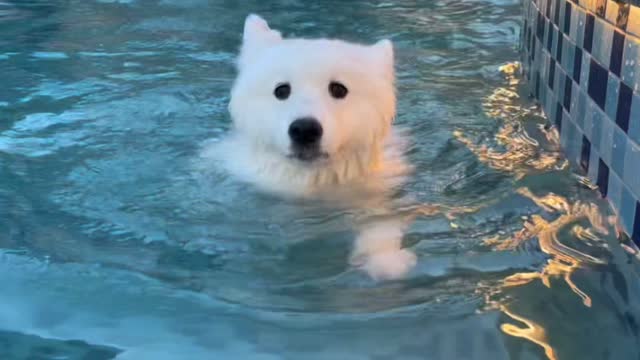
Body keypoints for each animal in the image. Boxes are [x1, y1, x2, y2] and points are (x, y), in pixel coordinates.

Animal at [210, 14, 420, 282]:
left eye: (338, 88)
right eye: (281, 89)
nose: (304, 129)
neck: (311, 180)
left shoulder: (377, 184)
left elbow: (383, 217)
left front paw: (386, 262)